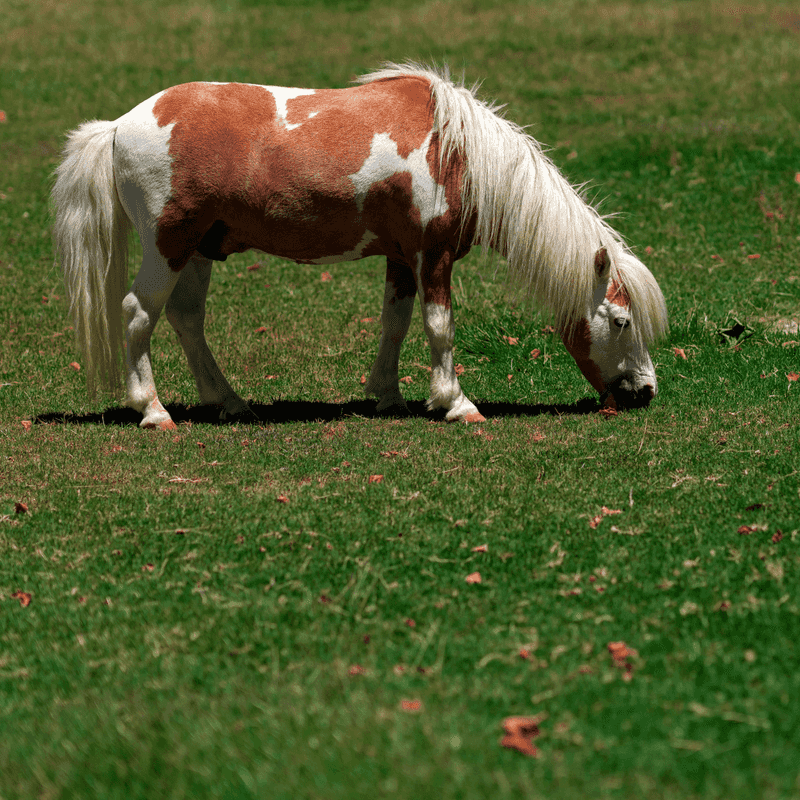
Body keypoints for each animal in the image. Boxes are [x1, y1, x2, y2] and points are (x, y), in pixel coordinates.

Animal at [51, 61, 668, 432]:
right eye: (619, 321)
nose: (645, 391)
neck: (457, 152)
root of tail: (119, 126)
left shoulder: (402, 258)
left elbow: (395, 323)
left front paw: (389, 397)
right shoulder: (433, 256)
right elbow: (439, 327)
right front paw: (457, 404)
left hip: (200, 249)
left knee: (185, 318)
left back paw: (227, 401)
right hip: (168, 246)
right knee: (139, 314)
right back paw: (153, 412)